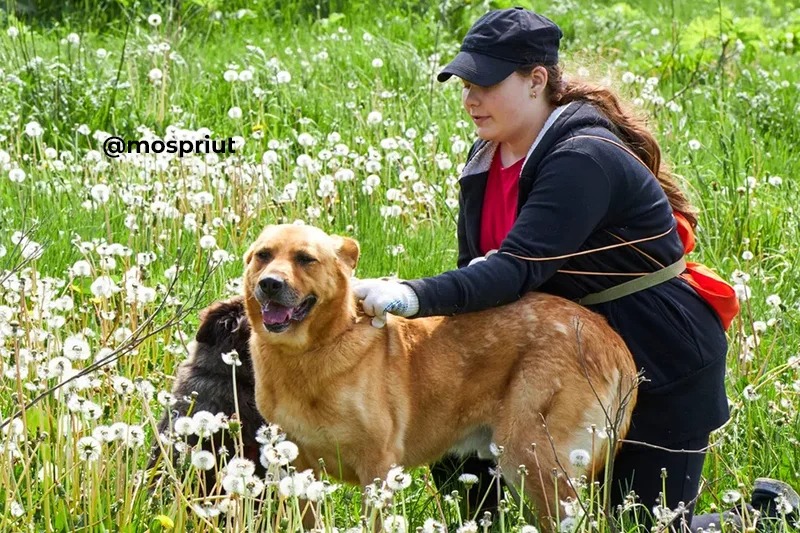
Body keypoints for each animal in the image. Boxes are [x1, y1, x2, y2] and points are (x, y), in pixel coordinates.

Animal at [241, 224, 640, 528]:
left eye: (305, 259)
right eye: (263, 255)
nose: (270, 283)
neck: (309, 352)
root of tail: (609, 337)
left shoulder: (378, 468)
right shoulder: (296, 469)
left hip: (532, 459)